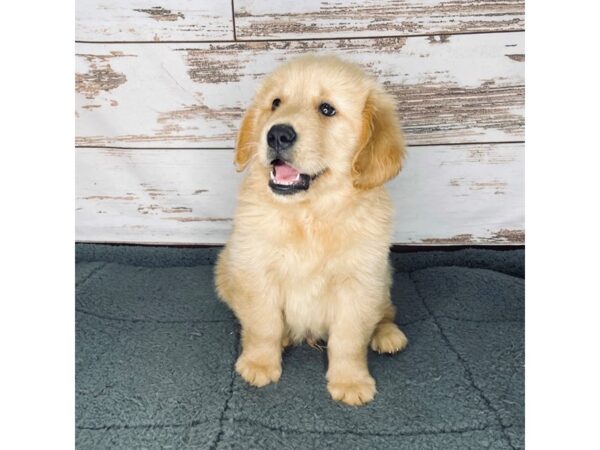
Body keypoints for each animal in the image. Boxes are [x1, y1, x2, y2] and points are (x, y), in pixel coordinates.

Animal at [216, 54, 408, 406]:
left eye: (327, 109)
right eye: (275, 103)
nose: (277, 134)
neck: (309, 214)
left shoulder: (358, 282)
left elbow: (348, 339)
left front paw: (350, 381)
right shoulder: (256, 270)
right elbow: (263, 324)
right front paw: (259, 363)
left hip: (382, 279)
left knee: (386, 311)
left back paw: (388, 335)